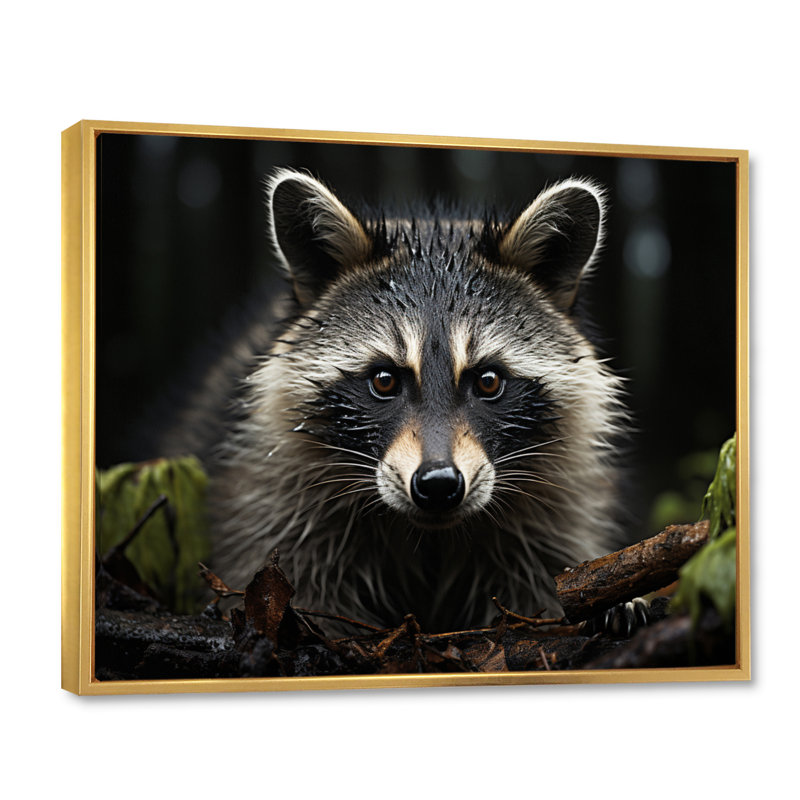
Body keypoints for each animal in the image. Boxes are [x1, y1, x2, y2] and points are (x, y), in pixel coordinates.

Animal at [181, 168, 628, 632]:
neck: (429, 535)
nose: (439, 484)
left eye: (488, 382)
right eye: (384, 381)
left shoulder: (556, 506)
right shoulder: (272, 499)